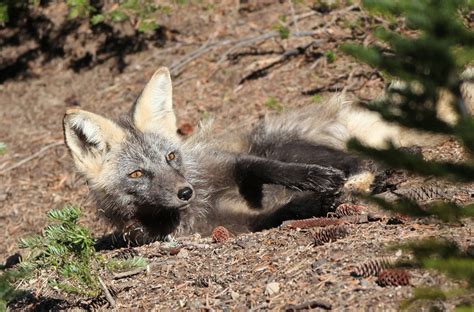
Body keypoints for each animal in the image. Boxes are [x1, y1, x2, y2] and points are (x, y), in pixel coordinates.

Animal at [64, 66, 474, 241]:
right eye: (137, 174)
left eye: (171, 158)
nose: (185, 192)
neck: (199, 207)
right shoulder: (231, 223)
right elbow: (277, 213)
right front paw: (312, 202)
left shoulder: (225, 164)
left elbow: (261, 168)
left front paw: (314, 181)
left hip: (277, 141)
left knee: (366, 160)